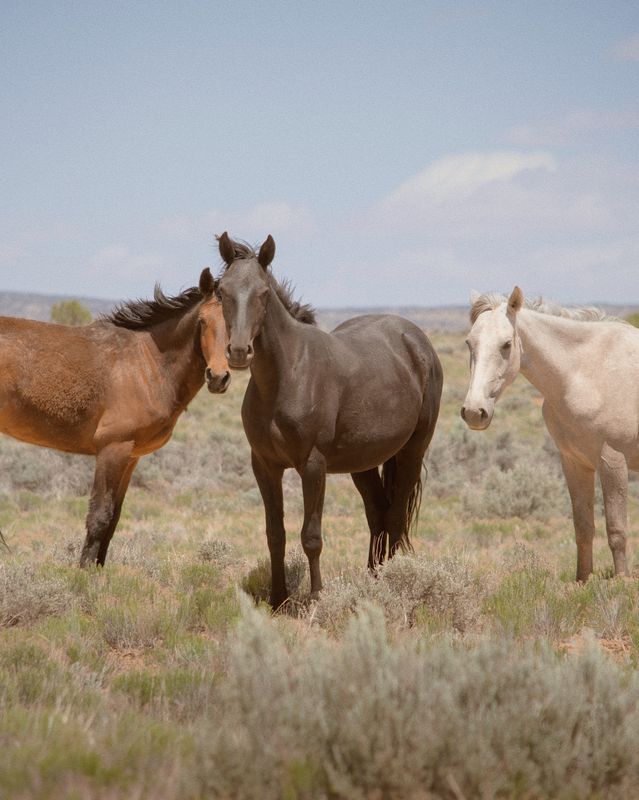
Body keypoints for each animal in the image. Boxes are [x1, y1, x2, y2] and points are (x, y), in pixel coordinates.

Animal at [0, 268, 229, 566]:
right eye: (202, 321)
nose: (218, 377)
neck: (148, 363)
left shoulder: (130, 457)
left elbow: (113, 520)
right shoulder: (112, 448)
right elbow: (99, 516)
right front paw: (84, 574)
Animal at [215, 232, 443, 608]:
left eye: (264, 293)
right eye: (221, 291)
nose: (237, 352)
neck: (285, 376)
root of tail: (416, 340)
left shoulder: (312, 465)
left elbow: (311, 536)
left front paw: (317, 598)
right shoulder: (264, 465)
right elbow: (275, 533)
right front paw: (278, 598)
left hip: (412, 450)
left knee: (395, 516)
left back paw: (393, 584)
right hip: (363, 462)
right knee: (378, 514)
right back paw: (373, 580)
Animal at [461, 286, 639, 581]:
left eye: (506, 344)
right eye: (468, 343)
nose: (475, 412)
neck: (586, 374)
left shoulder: (612, 461)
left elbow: (616, 530)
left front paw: (622, 582)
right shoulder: (574, 462)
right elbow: (583, 527)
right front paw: (582, 581)